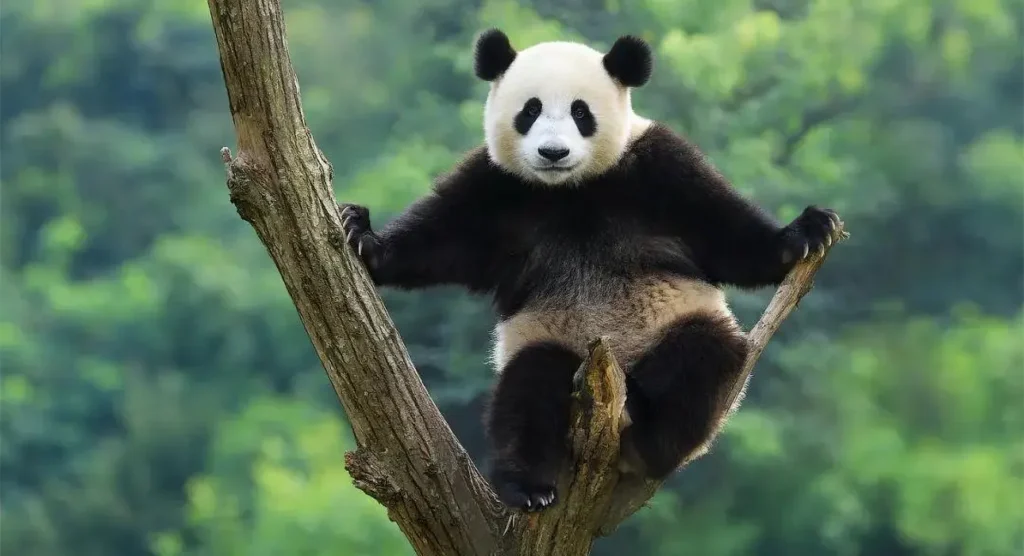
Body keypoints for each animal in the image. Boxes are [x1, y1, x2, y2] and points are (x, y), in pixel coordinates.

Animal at [339, 29, 843, 512]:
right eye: (531, 110)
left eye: (581, 112)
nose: (553, 152)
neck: (571, 189)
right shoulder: (495, 186)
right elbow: (439, 236)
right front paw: (364, 237)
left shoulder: (658, 168)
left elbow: (725, 233)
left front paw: (806, 231)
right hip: (548, 337)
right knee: (529, 390)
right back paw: (528, 486)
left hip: (679, 329)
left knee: (701, 356)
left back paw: (650, 440)